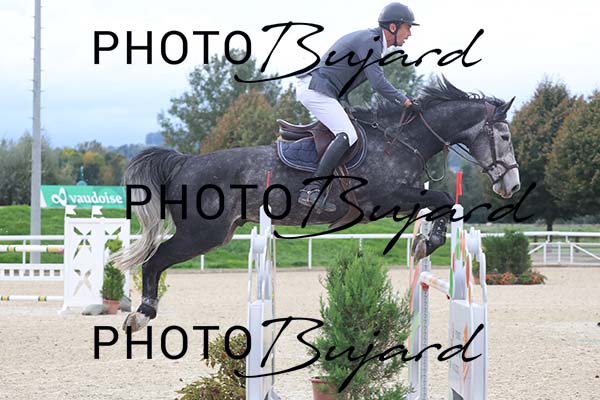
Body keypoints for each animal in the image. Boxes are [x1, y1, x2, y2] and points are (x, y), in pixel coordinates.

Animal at [114, 77, 520, 332]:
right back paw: (141, 315)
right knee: (154, 262)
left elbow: (439, 204)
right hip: (202, 234)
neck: (401, 141)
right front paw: (427, 243)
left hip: (216, 233)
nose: (511, 185)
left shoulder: (398, 201)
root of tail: (184, 161)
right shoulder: (386, 199)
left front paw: (423, 242)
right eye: (503, 136)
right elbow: (443, 199)